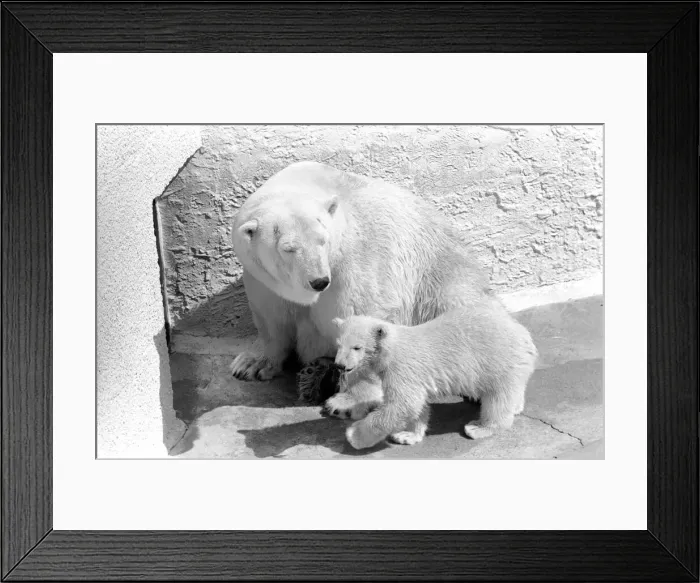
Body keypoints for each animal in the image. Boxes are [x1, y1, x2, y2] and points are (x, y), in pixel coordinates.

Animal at [229, 160, 492, 417]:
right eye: (289, 248)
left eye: (322, 239)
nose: (320, 281)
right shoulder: (263, 280)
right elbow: (271, 320)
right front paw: (250, 364)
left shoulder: (353, 264)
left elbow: (362, 322)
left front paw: (347, 401)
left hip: (441, 279)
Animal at [333, 309, 538, 450]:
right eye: (338, 345)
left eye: (357, 347)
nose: (340, 365)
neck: (391, 348)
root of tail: (524, 333)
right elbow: (417, 406)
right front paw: (406, 435)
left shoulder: (403, 367)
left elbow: (404, 403)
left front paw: (354, 435)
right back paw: (516, 407)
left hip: (499, 360)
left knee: (498, 398)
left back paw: (479, 427)